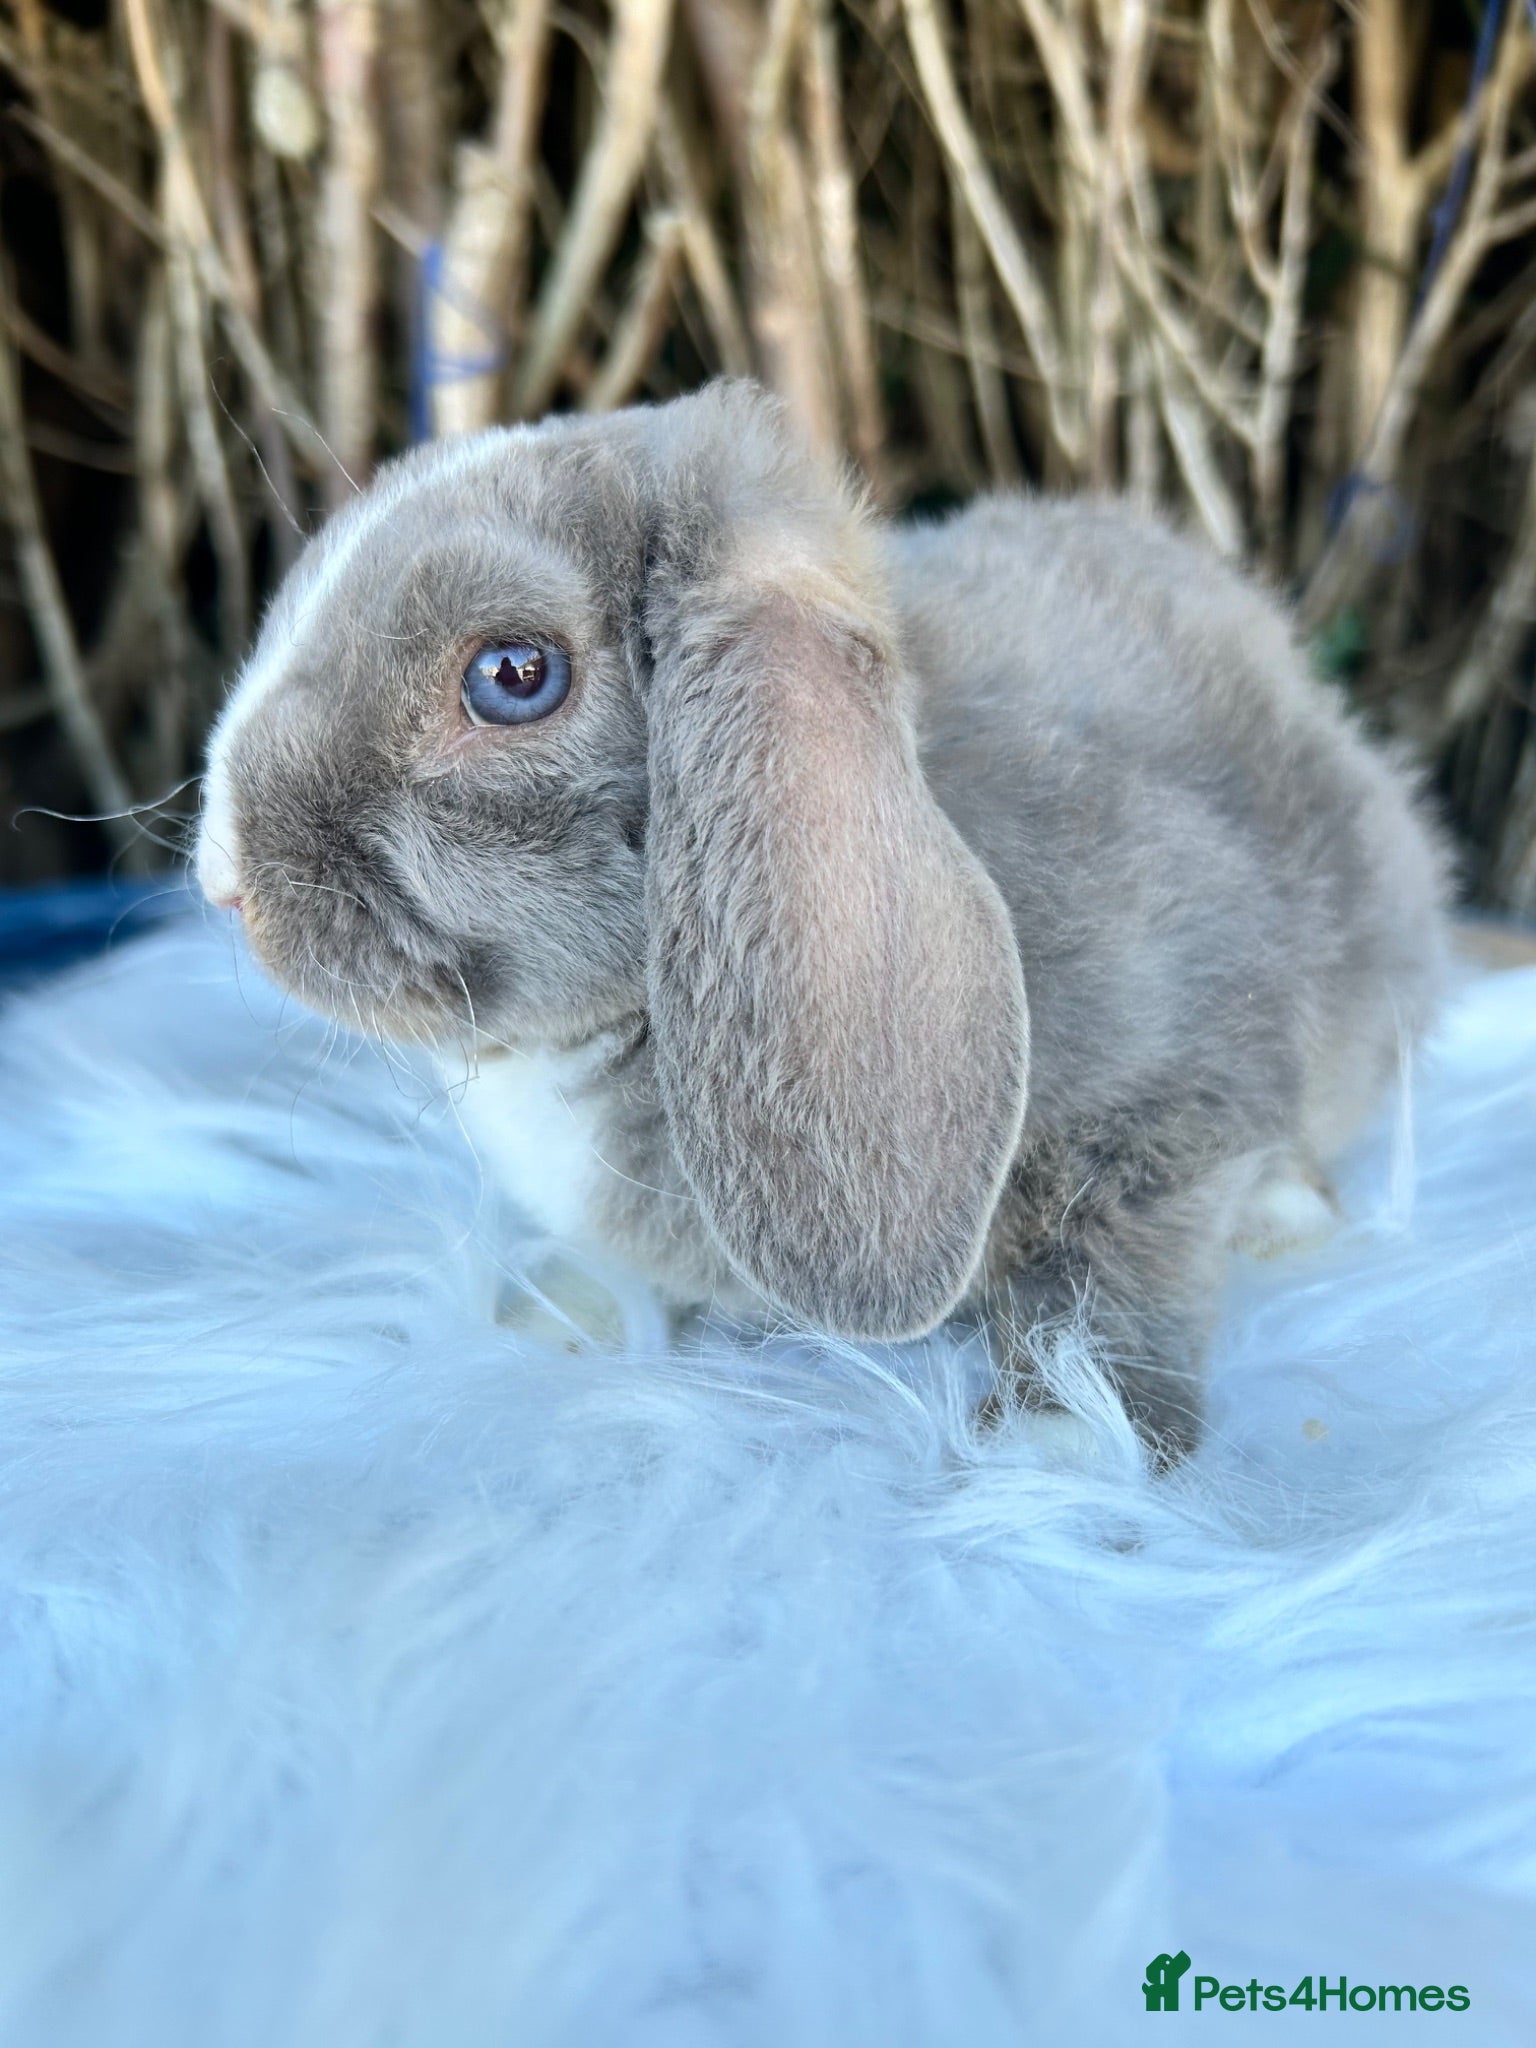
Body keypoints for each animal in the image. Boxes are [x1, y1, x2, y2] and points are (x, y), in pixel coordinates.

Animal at [196, 379, 1451, 1454]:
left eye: (512, 673)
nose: (223, 876)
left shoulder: (1167, 1097)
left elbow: (1105, 1280)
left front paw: (1057, 1451)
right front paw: (553, 1320)